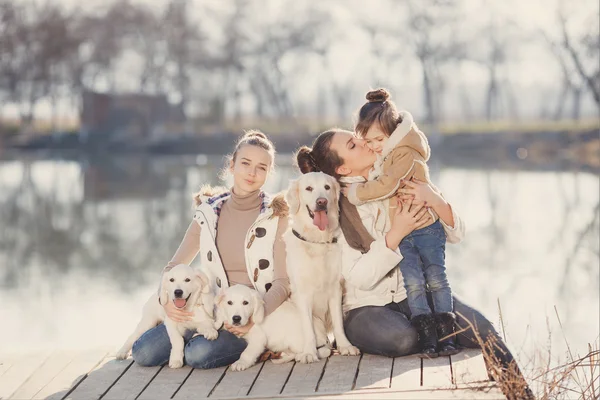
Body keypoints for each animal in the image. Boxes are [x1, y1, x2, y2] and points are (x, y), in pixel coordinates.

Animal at [284, 172, 358, 362]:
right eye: (308, 188)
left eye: (327, 187)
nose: (322, 202)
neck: (316, 240)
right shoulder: (302, 293)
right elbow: (308, 328)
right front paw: (309, 353)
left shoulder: (335, 289)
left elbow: (339, 323)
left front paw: (345, 346)